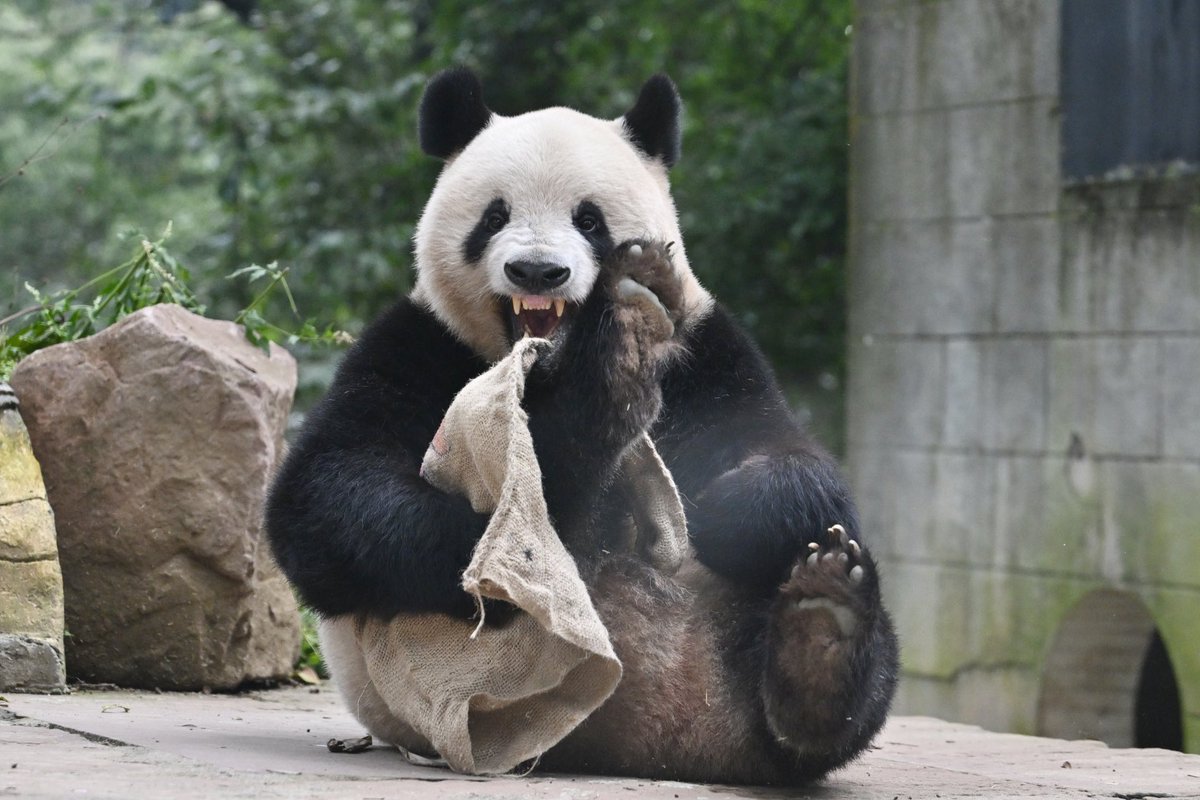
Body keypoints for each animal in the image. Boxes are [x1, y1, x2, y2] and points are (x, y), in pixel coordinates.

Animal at [265, 68, 899, 786]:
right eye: (495, 216)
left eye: (589, 219)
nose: (537, 271)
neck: (549, 361)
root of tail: (669, 725)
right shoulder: (419, 342)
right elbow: (328, 501)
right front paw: (588, 417)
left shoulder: (700, 347)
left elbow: (786, 457)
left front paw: (728, 514)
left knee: (855, 660)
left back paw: (820, 635)